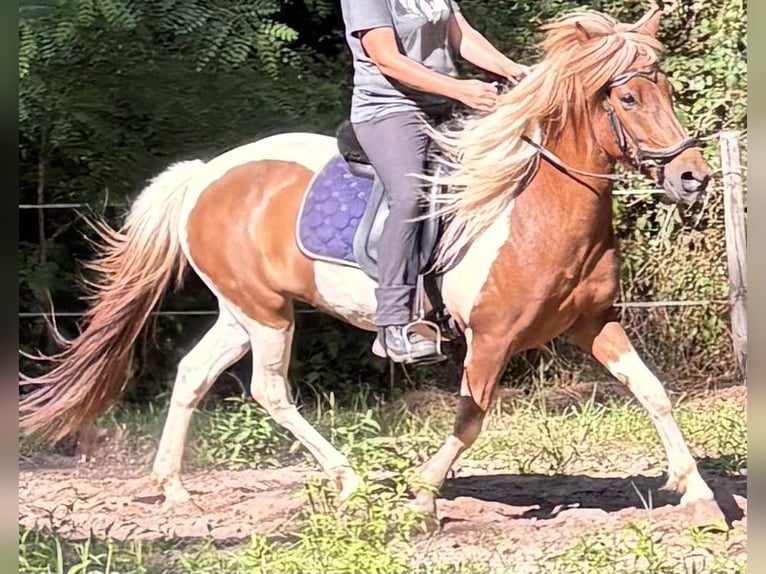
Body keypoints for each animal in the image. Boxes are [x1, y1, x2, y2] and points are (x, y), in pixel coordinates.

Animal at [20, 5, 726, 524]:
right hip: (267, 313)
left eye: (664, 88)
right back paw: (350, 480)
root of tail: (204, 175)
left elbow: (654, 393)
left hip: (242, 309)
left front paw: (700, 496)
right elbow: (471, 418)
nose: (693, 177)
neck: (534, 208)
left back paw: (173, 489)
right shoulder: (491, 338)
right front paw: (421, 497)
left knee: (193, 373)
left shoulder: (594, 323)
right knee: (270, 391)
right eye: (628, 99)